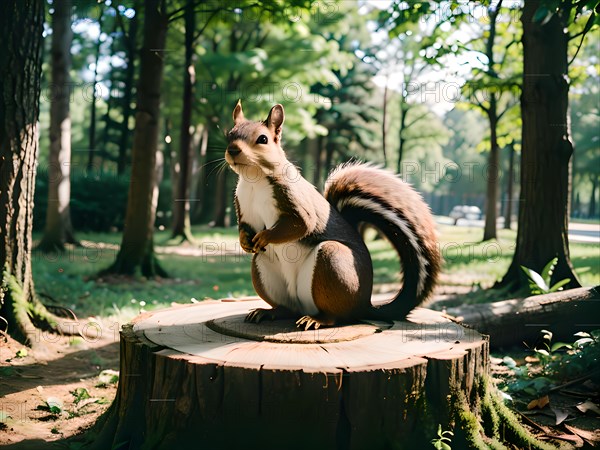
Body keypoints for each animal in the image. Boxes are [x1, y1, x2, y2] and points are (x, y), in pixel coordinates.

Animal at [225, 100, 440, 328]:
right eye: (230, 134)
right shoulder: (245, 209)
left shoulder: (296, 200)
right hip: (265, 269)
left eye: (263, 139)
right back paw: (267, 312)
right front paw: (245, 242)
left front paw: (265, 236)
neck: (254, 180)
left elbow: (302, 224)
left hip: (333, 260)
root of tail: (365, 305)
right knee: (287, 308)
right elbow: (245, 227)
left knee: (337, 315)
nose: (232, 150)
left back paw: (315, 320)